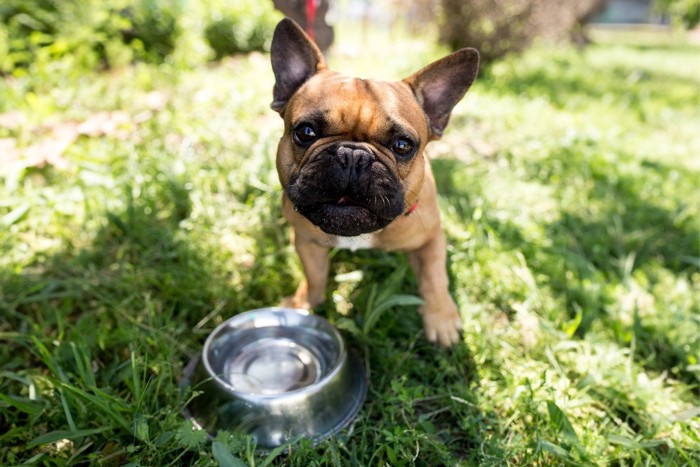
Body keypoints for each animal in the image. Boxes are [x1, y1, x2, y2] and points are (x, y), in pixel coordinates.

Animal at [270, 17, 478, 348]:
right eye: (305, 132)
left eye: (403, 145)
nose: (352, 156)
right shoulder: (306, 241)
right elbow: (315, 277)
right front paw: (303, 303)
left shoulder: (431, 238)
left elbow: (435, 278)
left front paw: (441, 319)